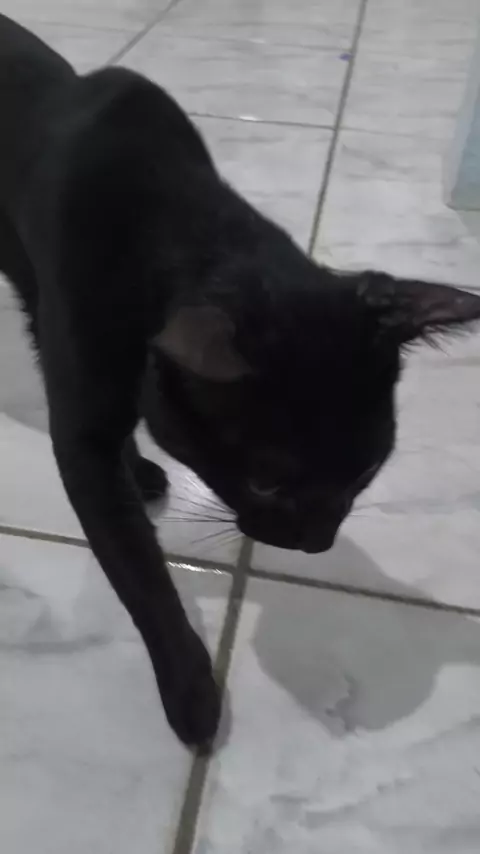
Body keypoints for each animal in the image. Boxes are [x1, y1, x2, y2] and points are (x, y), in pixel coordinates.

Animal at [1, 13, 480, 748]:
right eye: (265, 483)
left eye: (367, 470)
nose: (316, 542)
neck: (176, 217)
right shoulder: (81, 422)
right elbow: (139, 572)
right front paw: (192, 693)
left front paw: (139, 469)